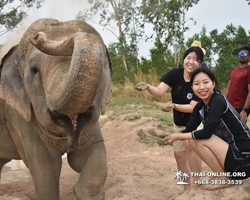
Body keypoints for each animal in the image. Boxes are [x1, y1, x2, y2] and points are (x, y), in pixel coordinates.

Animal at [0, 18, 112, 199]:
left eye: (102, 64)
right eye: (35, 70)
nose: (37, 37)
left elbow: (90, 154)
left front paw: (78, 192)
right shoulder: (17, 115)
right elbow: (45, 168)